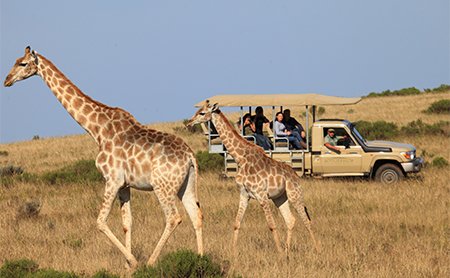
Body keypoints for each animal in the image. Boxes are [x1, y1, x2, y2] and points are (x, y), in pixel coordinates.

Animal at [3, 46, 204, 268]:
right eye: (15, 60)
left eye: (23, 63)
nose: (7, 80)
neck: (97, 129)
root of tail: (190, 156)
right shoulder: (124, 184)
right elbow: (127, 223)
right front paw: (127, 266)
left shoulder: (112, 179)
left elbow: (100, 221)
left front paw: (133, 262)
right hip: (186, 183)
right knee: (196, 215)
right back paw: (201, 259)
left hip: (163, 186)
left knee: (174, 217)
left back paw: (151, 262)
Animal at [188, 100, 318, 256]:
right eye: (197, 111)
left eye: (202, 113)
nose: (189, 123)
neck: (240, 158)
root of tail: (297, 176)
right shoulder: (244, 194)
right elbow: (236, 223)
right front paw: (233, 252)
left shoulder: (261, 194)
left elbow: (272, 225)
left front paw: (279, 252)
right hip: (280, 197)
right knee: (290, 220)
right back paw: (288, 250)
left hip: (294, 194)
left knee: (307, 221)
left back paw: (317, 249)